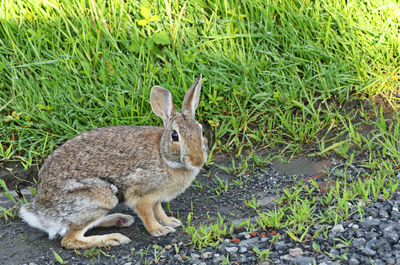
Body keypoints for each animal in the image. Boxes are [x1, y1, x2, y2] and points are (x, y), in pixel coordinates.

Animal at [19, 74, 208, 248]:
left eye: (202, 131)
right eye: (175, 136)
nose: (198, 160)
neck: (164, 156)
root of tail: (41, 214)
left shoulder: (156, 197)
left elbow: (158, 210)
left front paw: (170, 221)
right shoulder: (141, 195)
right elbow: (148, 214)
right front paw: (160, 230)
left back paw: (121, 219)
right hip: (101, 196)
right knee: (69, 239)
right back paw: (114, 238)